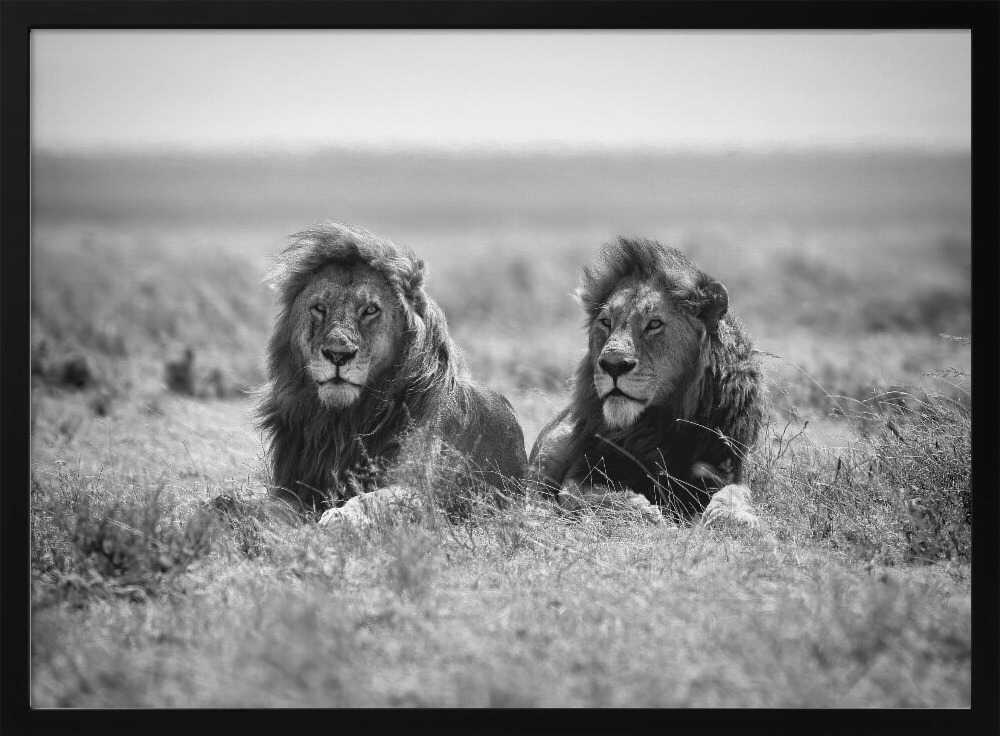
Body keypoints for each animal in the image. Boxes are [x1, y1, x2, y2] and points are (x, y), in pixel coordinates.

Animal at [256, 222, 527, 525]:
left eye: (370, 310)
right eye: (319, 308)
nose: (338, 354)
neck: (344, 421)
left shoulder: (420, 490)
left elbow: (371, 500)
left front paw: (339, 517)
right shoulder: (293, 485)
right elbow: (269, 506)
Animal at [529, 237, 765, 528]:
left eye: (654, 324)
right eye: (605, 322)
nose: (613, 364)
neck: (658, 425)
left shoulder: (725, 465)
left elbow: (734, 493)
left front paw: (737, 519)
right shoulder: (586, 469)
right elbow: (584, 495)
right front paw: (646, 512)